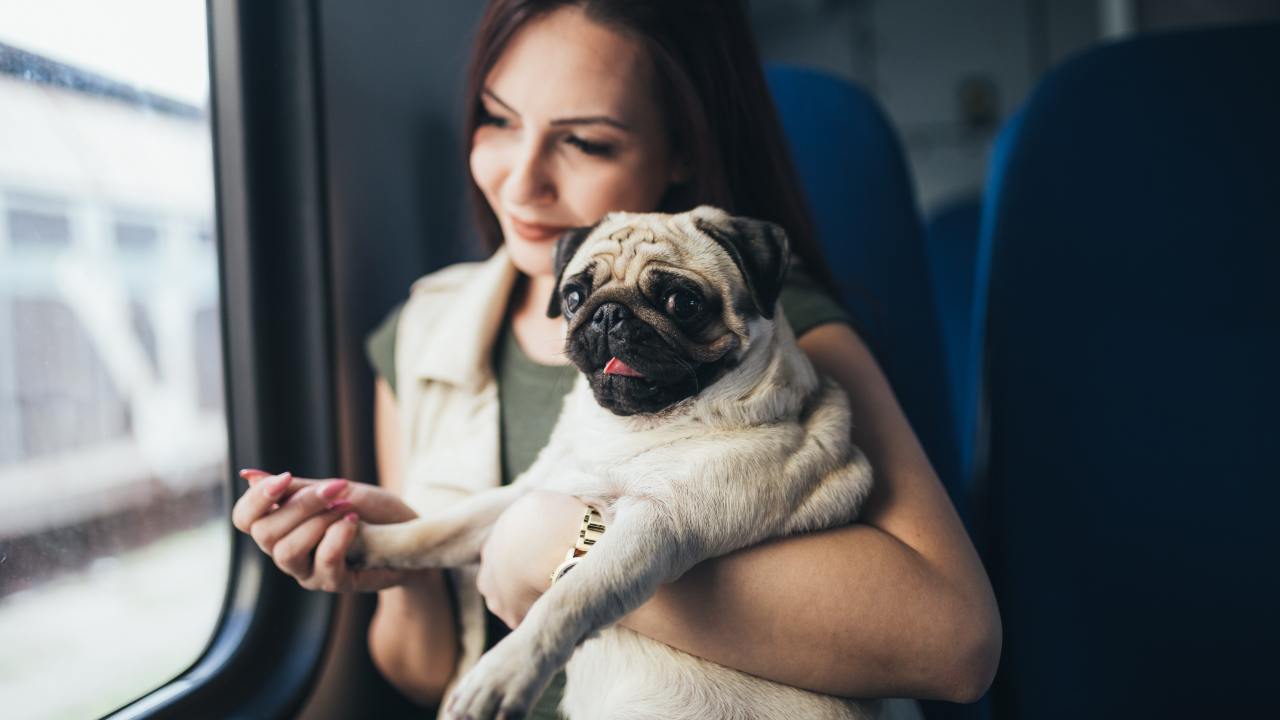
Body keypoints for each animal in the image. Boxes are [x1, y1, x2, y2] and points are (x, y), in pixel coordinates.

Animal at [355, 204, 885, 712]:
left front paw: (506, 671)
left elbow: (570, 598)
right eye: (573, 296)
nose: (608, 314)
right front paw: (366, 541)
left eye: (683, 303)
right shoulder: (532, 490)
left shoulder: (657, 527)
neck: (631, 428)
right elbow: (439, 528)